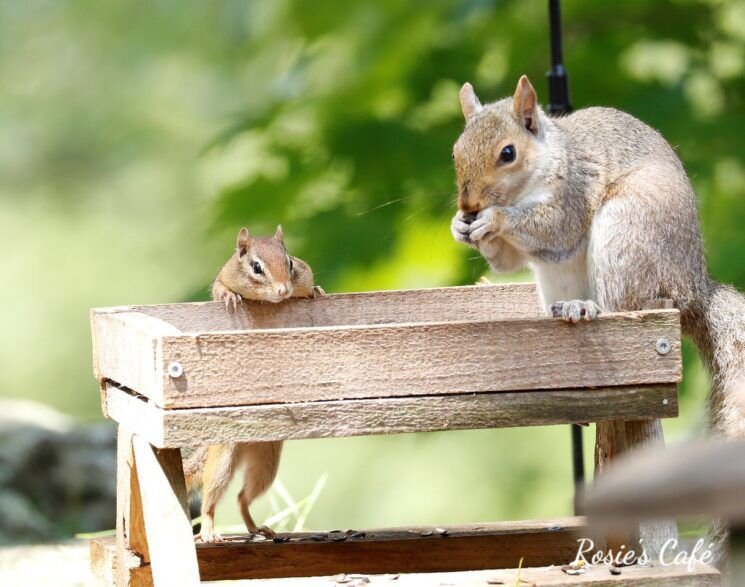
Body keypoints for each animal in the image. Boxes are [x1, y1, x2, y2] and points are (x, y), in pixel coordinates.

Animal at [450, 76, 744, 438]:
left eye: (508, 153)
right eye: (456, 151)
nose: (468, 206)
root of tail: (691, 290)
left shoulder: (574, 192)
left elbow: (557, 230)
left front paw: (494, 218)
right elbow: (507, 263)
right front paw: (460, 226)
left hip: (625, 234)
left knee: (620, 306)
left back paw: (586, 307)